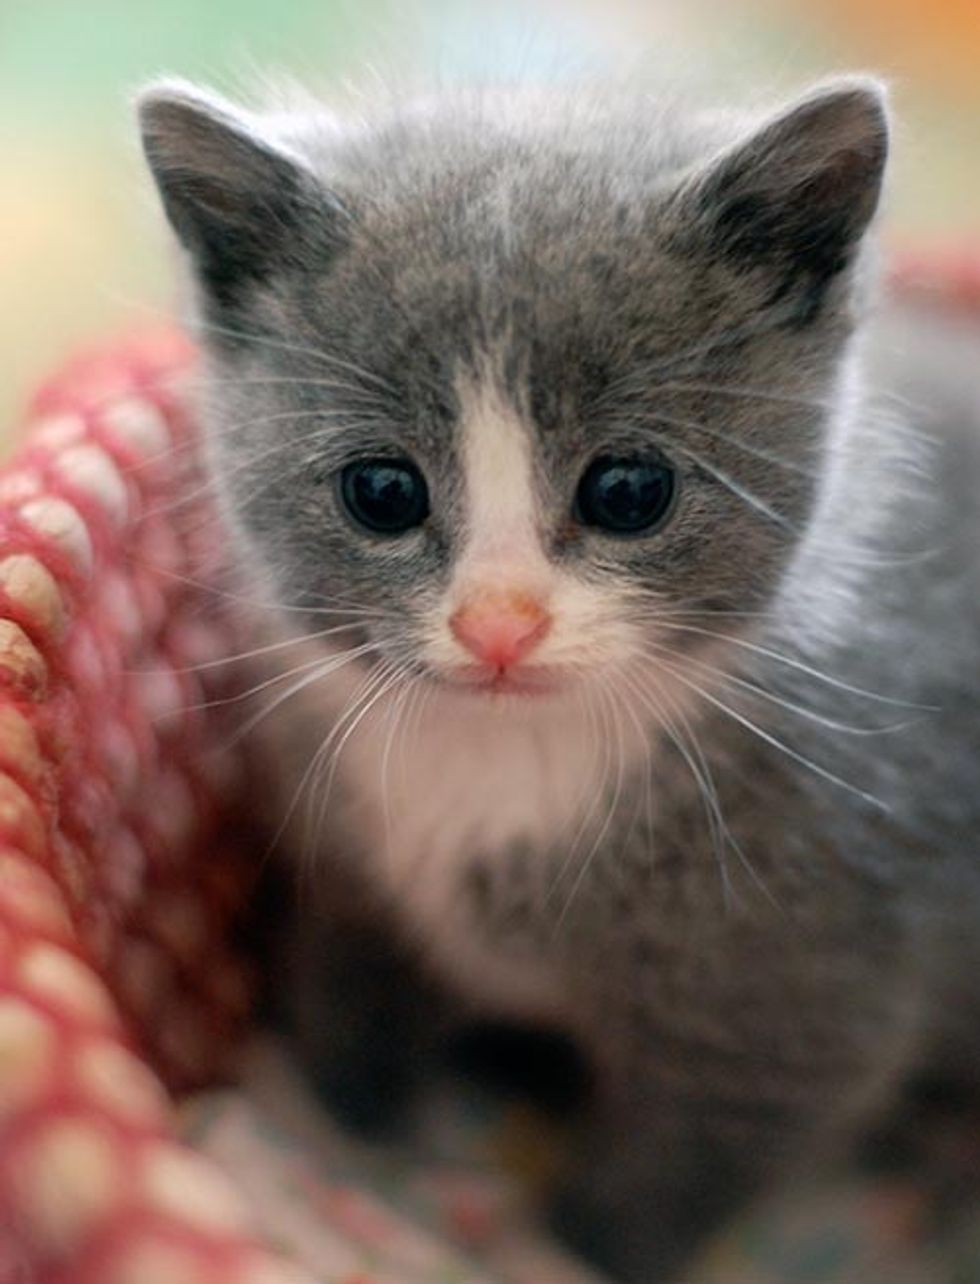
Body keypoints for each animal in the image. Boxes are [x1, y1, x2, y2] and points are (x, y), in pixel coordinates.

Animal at [138, 75, 980, 1278]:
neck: (507, 760)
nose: (500, 625)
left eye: (627, 491)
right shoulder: (343, 865)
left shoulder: (798, 995)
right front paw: (345, 1142)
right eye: (381, 492)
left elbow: (676, 1165)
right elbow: (350, 994)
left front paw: (562, 1249)